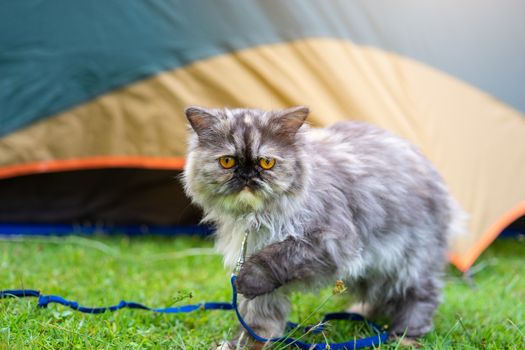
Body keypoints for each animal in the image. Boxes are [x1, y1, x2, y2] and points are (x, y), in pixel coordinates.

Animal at [182, 105, 464, 348]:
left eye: (266, 163)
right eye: (228, 162)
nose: (246, 176)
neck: (257, 217)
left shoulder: (328, 242)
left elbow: (271, 260)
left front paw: (248, 280)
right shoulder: (259, 261)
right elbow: (257, 320)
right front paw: (245, 344)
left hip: (409, 262)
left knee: (421, 297)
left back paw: (405, 336)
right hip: (377, 267)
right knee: (382, 296)